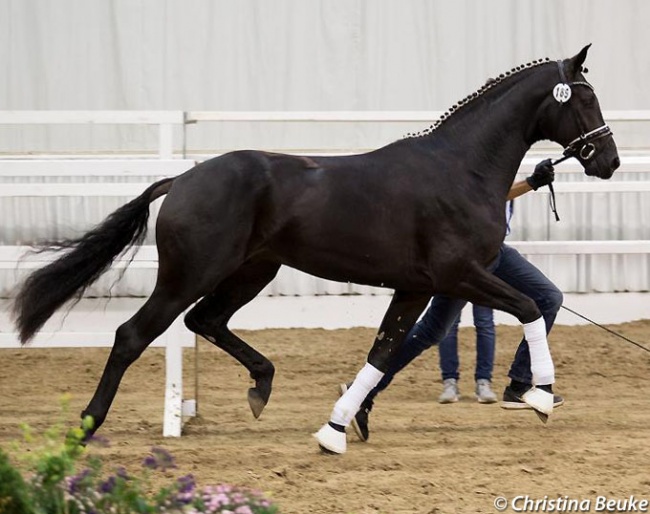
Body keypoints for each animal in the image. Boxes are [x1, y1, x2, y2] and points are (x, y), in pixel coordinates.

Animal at [11, 46, 616, 450]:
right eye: (585, 97)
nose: (607, 160)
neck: (459, 168)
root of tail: (181, 180)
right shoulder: (457, 274)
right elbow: (529, 306)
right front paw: (540, 396)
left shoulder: (415, 287)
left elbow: (382, 353)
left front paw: (336, 429)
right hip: (190, 274)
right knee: (133, 334)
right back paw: (86, 427)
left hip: (251, 272)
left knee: (205, 321)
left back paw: (261, 386)